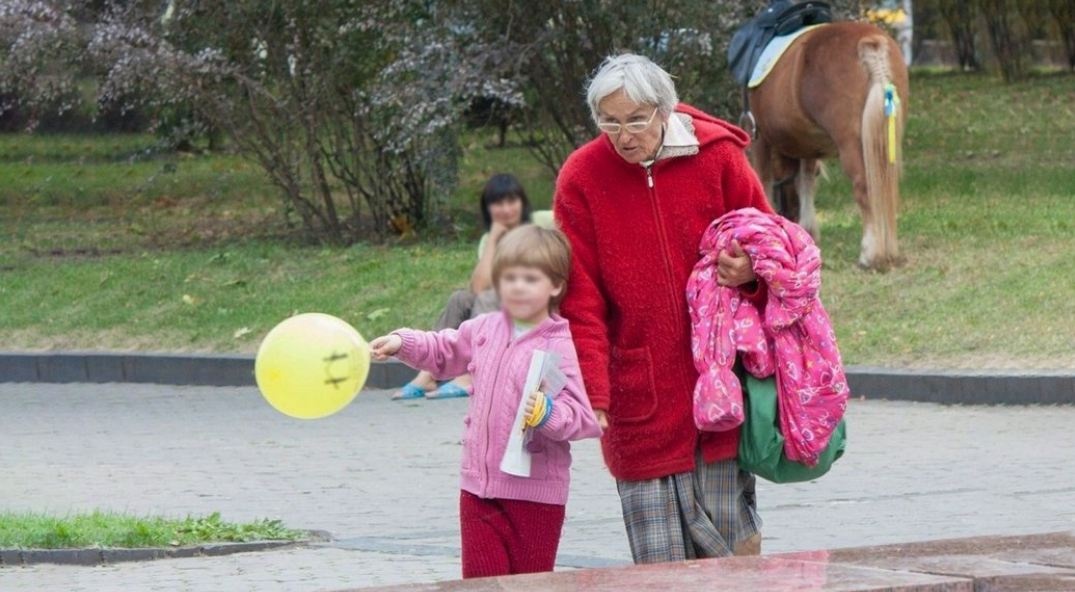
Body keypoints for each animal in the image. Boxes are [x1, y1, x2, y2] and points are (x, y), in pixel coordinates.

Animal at [748, 22, 907, 269]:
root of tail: (870, 43)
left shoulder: (761, 138)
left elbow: (764, 181)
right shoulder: (807, 145)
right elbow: (806, 181)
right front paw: (809, 231)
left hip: (851, 144)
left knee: (864, 188)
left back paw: (870, 254)